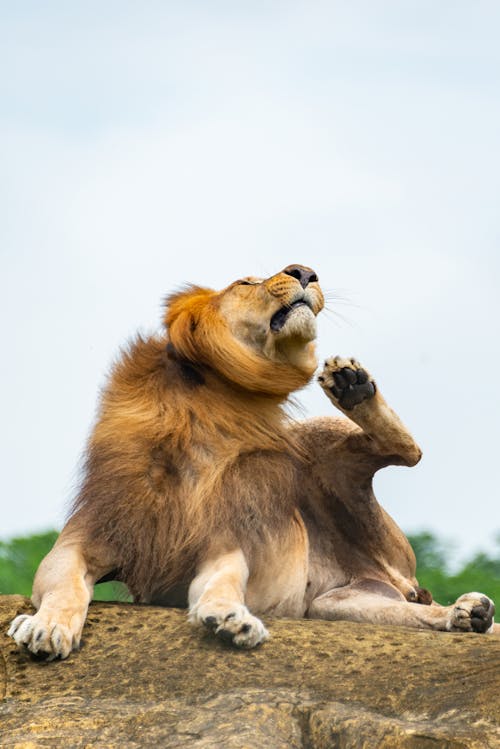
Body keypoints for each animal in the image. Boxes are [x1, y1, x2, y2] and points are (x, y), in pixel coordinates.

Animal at [7, 262, 496, 656]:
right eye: (244, 282)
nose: (305, 270)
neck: (203, 425)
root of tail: (399, 579)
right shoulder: (84, 539)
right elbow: (65, 584)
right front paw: (45, 627)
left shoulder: (227, 542)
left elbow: (222, 581)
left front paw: (230, 617)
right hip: (339, 605)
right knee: (413, 612)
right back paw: (464, 615)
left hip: (323, 443)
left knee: (406, 451)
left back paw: (351, 383)